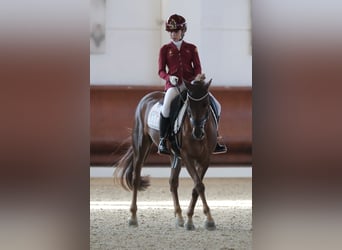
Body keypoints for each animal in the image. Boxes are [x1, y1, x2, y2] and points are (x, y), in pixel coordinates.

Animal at [114, 74, 216, 230]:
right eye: (189, 106)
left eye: (206, 104)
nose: (198, 133)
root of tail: (147, 97)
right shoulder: (187, 157)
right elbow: (199, 185)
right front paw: (208, 219)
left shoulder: (205, 159)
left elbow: (196, 187)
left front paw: (191, 219)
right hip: (141, 145)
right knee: (136, 178)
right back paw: (133, 217)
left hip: (174, 155)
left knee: (172, 183)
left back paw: (179, 217)